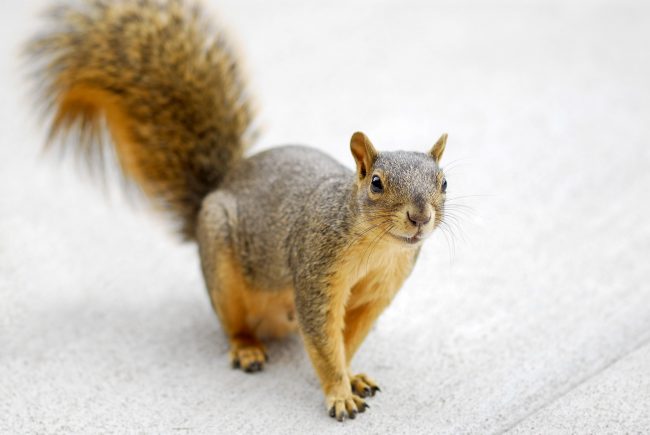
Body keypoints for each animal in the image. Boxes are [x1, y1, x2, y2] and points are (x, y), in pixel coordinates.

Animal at [26, 0, 449, 422]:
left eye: (444, 183)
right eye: (376, 183)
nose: (419, 217)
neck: (378, 247)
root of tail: (216, 190)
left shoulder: (376, 294)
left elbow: (348, 340)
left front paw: (352, 375)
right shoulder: (316, 273)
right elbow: (324, 341)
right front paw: (339, 392)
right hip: (222, 264)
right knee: (234, 323)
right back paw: (246, 348)